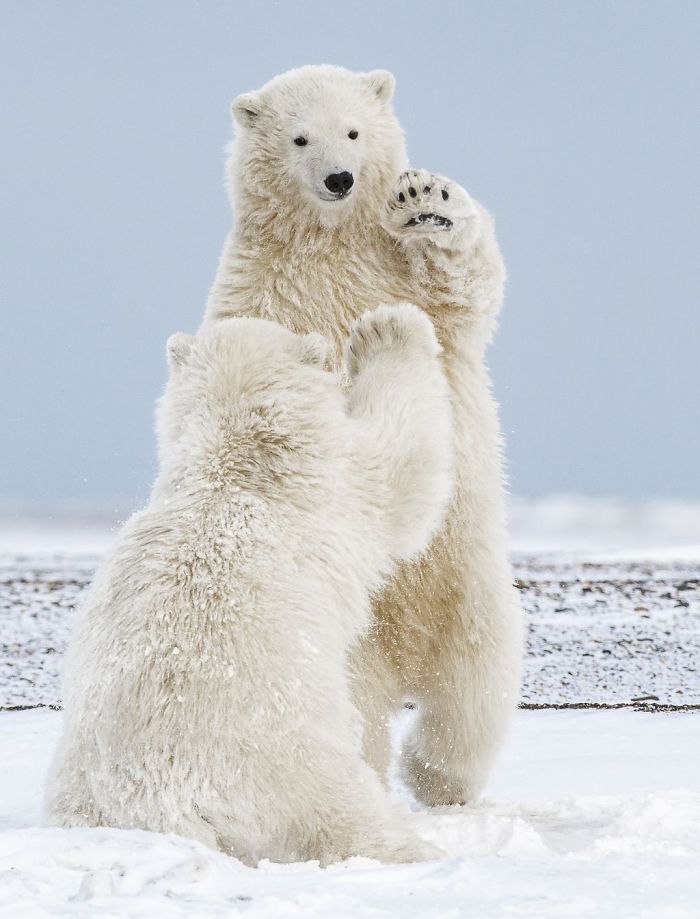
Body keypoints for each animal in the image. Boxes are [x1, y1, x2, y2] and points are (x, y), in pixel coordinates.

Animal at [47, 306, 454, 868]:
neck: (233, 460)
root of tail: (159, 801)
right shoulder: (337, 483)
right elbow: (403, 466)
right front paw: (386, 328)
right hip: (289, 758)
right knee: (344, 812)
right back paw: (415, 850)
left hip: (77, 787)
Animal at [205, 63, 524, 804]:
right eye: (300, 137)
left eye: (353, 130)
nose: (340, 179)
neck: (332, 240)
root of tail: (407, 661)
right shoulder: (261, 285)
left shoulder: (401, 273)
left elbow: (471, 286)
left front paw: (429, 201)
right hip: (345, 636)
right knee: (365, 704)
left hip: (470, 580)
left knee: (476, 684)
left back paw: (439, 774)